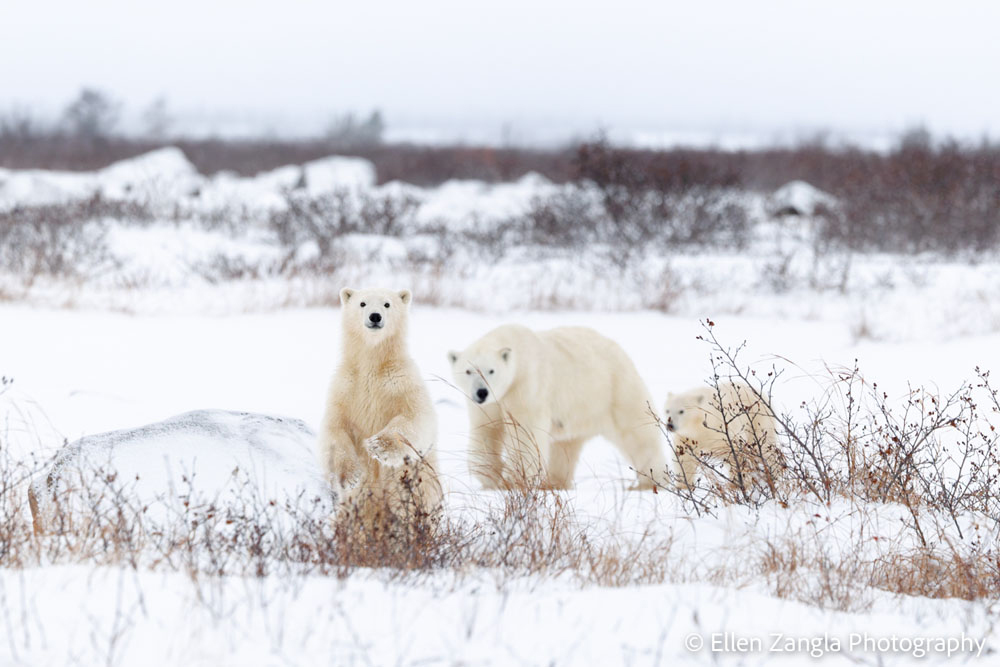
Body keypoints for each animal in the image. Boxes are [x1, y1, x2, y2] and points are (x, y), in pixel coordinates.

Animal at [318, 288, 444, 528]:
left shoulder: (402, 382)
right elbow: (335, 430)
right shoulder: (345, 387)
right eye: (362, 303)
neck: (372, 364)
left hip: (416, 487)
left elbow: (416, 418)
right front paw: (349, 475)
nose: (375, 316)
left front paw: (377, 446)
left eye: (387, 304)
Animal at [450, 324, 668, 490]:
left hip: (614, 389)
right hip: (578, 411)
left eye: (491, 370)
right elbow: (487, 430)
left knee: (637, 433)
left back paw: (649, 481)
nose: (481, 392)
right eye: (468, 370)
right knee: (565, 449)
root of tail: (618, 348)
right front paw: (491, 477)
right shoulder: (488, 405)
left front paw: (513, 480)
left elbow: (524, 434)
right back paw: (553, 483)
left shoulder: (527, 386)